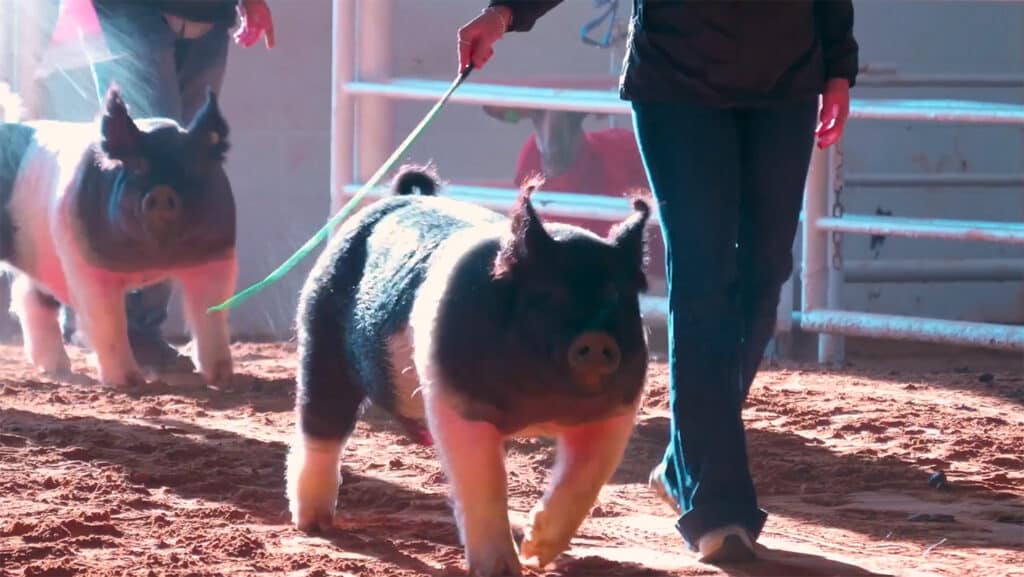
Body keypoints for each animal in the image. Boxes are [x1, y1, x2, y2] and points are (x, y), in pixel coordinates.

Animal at [0, 85, 237, 387]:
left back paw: (57, 368)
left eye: (192, 168)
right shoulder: (85, 263)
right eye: (136, 167)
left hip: (42, 258)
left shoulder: (216, 256)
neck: (153, 262)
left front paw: (222, 376)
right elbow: (107, 320)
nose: (161, 192)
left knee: (30, 298)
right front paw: (129, 382)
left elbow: (210, 314)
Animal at [286, 165, 651, 576]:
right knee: (320, 427)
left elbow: (586, 478)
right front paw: (502, 569)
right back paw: (313, 524)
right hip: (320, 332)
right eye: (547, 295)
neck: (540, 408)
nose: (598, 338)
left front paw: (535, 553)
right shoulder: (455, 400)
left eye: (618, 297)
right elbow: (485, 480)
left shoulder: (616, 410)